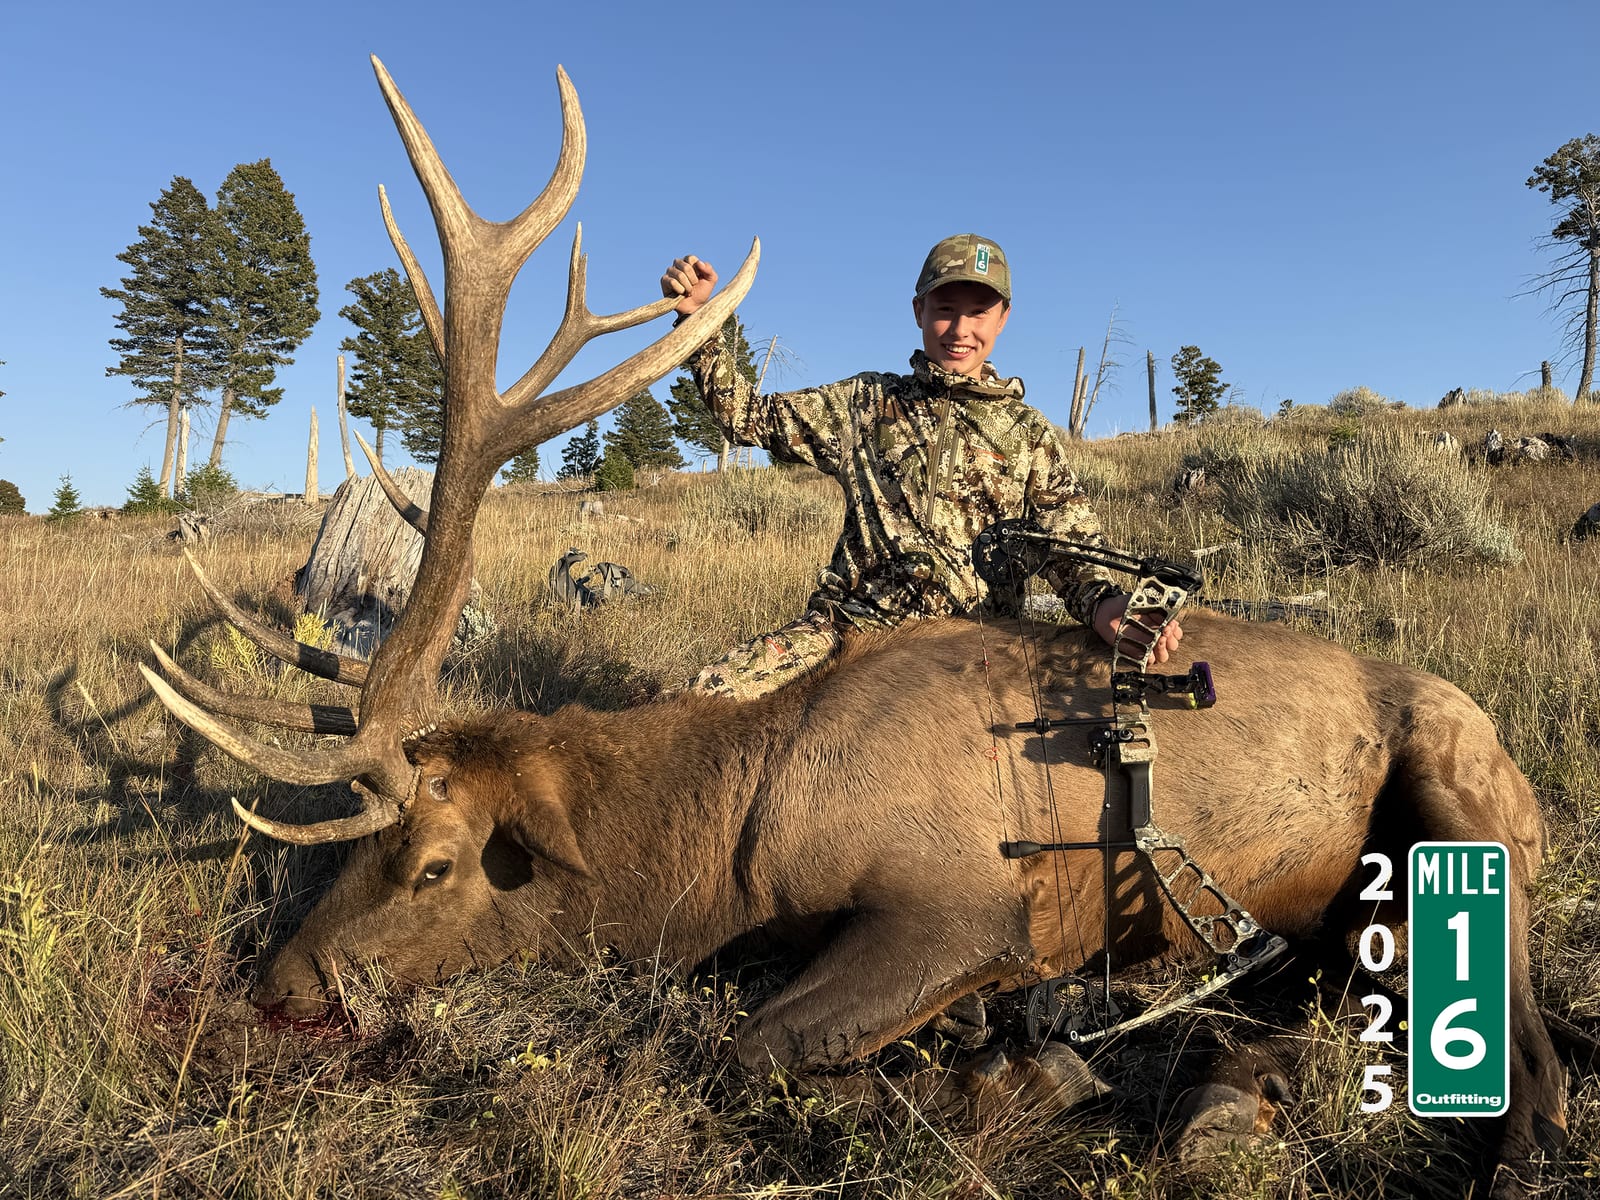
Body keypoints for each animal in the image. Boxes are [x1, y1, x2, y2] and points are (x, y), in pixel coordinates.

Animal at [141, 58, 1567, 1199]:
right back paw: (1231, 1089)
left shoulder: (962, 904)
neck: (726, 845)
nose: (277, 986)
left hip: (1462, 799)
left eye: (434, 866)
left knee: (1530, 1039)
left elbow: (749, 1041)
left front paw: (1016, 1076)